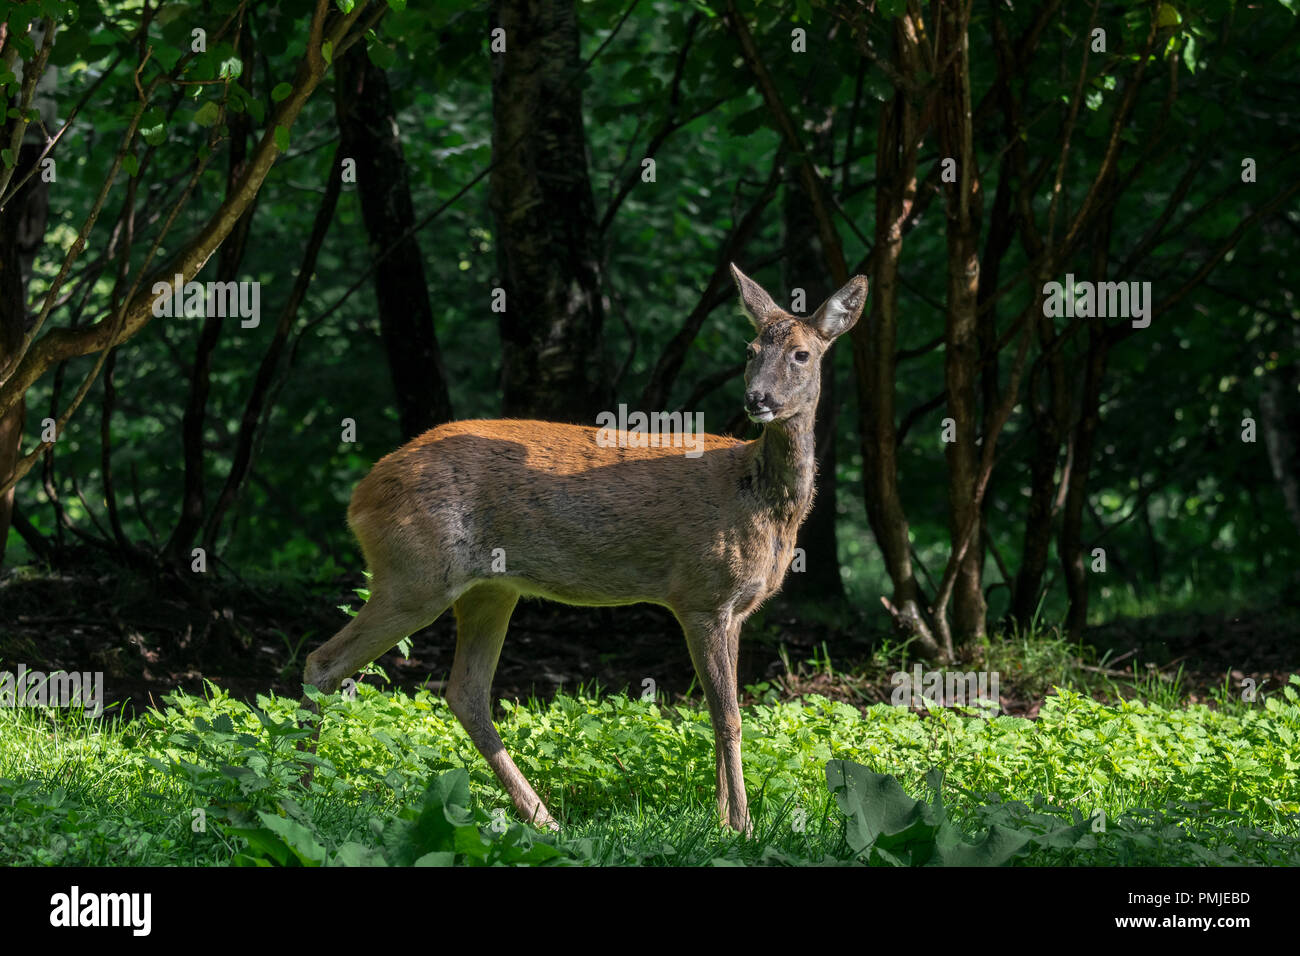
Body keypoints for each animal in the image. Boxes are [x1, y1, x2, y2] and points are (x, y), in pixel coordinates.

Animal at [301, 264, 868, 834]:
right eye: (750, 350)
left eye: (801, 354)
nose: (758, 400)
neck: (757, 494)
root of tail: (361, 495)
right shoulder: (700, 595)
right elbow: (726, 714)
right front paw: (741, 827)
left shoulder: (735, 610)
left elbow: (723, 712)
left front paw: (723, 816)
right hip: (414, 573)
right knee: (322, 662)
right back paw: (299, 791)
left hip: (489, 589)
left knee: (465, 691)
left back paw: (542, 818)